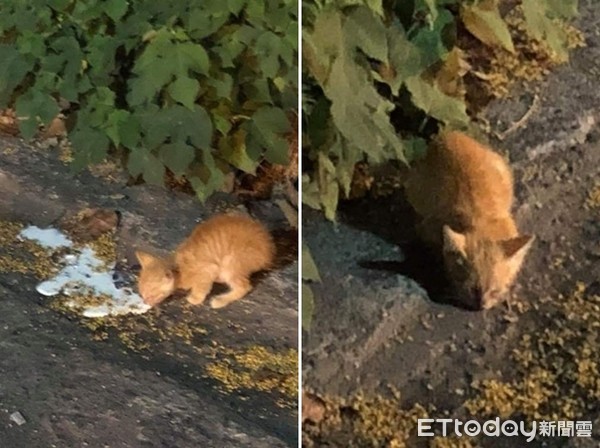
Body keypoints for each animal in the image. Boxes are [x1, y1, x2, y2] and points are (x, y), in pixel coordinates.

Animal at [135, 213, 274, 308]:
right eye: (142, 294)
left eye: (151, 295)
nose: (145, 302)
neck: (180, 269)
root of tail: (268, 251)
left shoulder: (207, 269)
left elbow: (201, 288)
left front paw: (195, 298)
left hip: (231, 261)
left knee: (244, 286)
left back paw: (220, 300)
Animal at [404, 131, 536, 310]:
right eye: (473, 290)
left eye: (494, 291)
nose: (481, 306)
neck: (480, 220)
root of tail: (447, 134)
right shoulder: (427, 227)